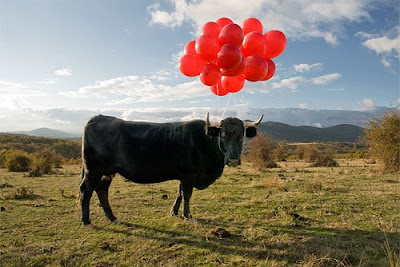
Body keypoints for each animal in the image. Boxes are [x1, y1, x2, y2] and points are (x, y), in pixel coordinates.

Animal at [80, 113, 264, 226]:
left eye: (241, 137)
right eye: (223, 136)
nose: (233, 160)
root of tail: (98, 118)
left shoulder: (183, 175)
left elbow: (179, 193)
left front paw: (174, 212)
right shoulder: (189, 174)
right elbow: (187, 195)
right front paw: (187, 216)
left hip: (106, 173)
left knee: (102, 191)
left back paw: (113, 218)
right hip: (94, 170)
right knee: (86, 191)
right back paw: (86, 221)